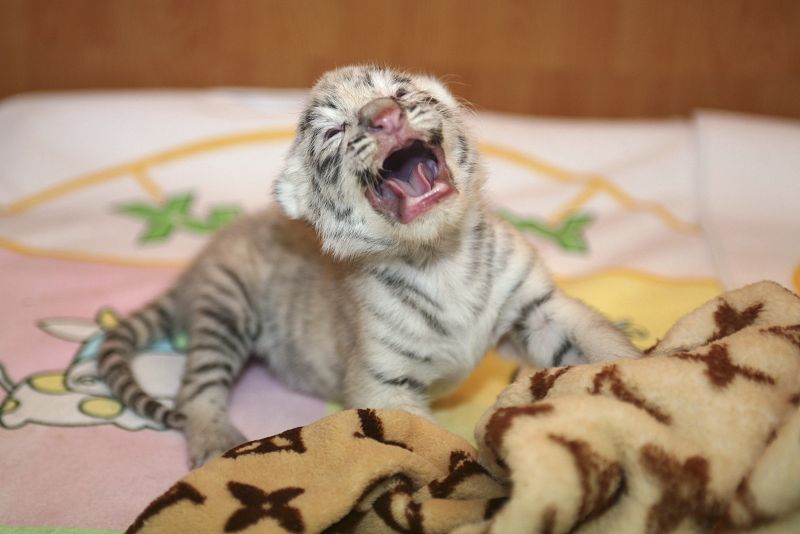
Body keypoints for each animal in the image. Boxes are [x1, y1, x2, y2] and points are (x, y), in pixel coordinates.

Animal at [97, 66, 640, 468]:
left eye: (399, 92)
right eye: (334, 130)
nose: (384, 116)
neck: (439, 257)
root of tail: (196, 265)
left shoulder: (539, 310)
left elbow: (602, 343)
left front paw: (644, 378)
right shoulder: (385, 383)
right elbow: (436, 445)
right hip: (226, 307)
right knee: (195, 389)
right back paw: (217, 443)